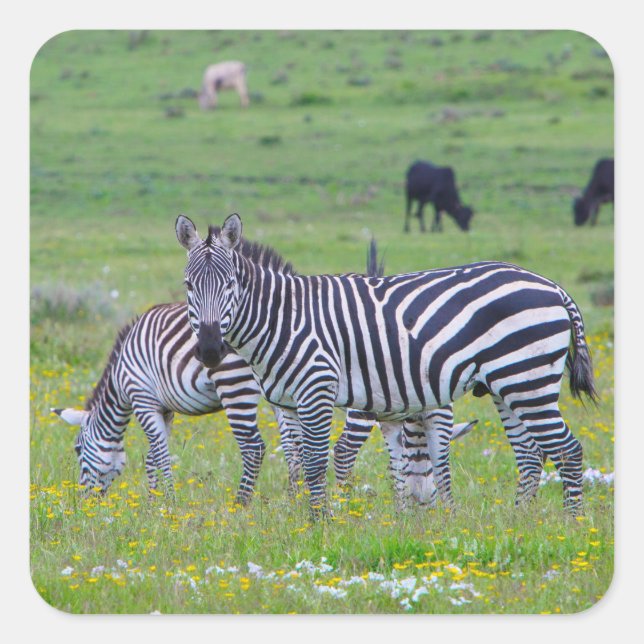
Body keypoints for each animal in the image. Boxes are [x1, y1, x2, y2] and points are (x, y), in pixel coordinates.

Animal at [52, 302, 302, 503]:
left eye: (77, 449)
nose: (84, 501)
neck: (120, 379)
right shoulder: (164, 409)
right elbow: (152, 456)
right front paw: (152, 501)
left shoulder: (142, 400)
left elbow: (161, 455)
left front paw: (169, 502)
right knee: (292, 445)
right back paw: (293, 500)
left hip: (233, 382)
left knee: (254, 447)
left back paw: (241, 504)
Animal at [176, 213, 596, 516]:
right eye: (188, 286)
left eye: (230, 284)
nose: (210, 350)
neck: (284, 317)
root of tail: (552, 286)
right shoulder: (288, 403)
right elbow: (296, 463)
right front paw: (300, 520)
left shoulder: (317, 389)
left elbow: (315, 462)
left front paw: (321, 523)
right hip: (507, 385)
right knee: (530, 455)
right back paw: (518, 521)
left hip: (527, 379)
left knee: (567, 450)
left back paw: (571, 525)